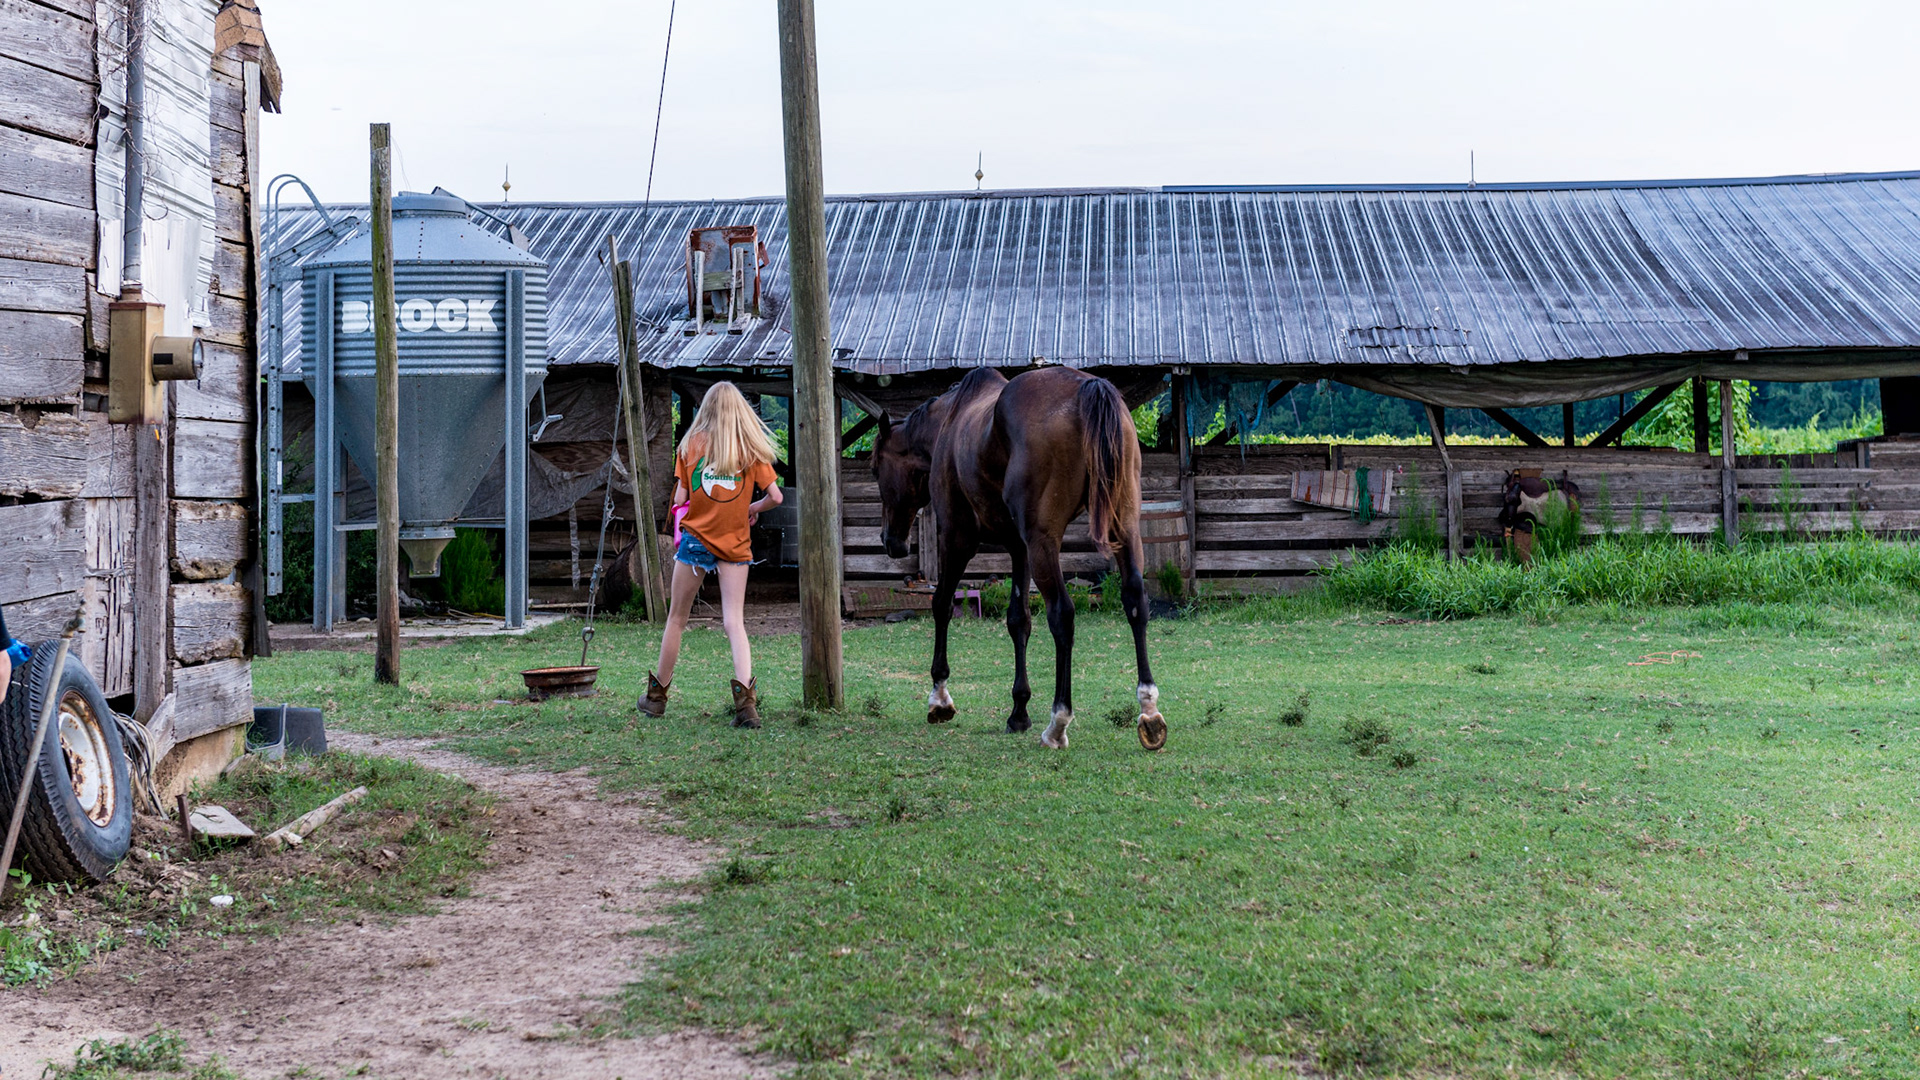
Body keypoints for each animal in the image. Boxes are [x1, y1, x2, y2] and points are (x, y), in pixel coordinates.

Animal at [871, 366, 1168, 751]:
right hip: (1124, 528)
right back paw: (1149, 711)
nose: (890, 541)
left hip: (1044, 543)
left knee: (1062, 614)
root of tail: (1088, 388)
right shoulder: (1019, 547)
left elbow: (941, 604)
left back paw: (1058, 723)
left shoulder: (957, 538)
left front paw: (940, 698)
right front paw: (1019, 710)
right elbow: (1018, 620)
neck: (949, 422)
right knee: (1135, 601)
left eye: (876, 469)